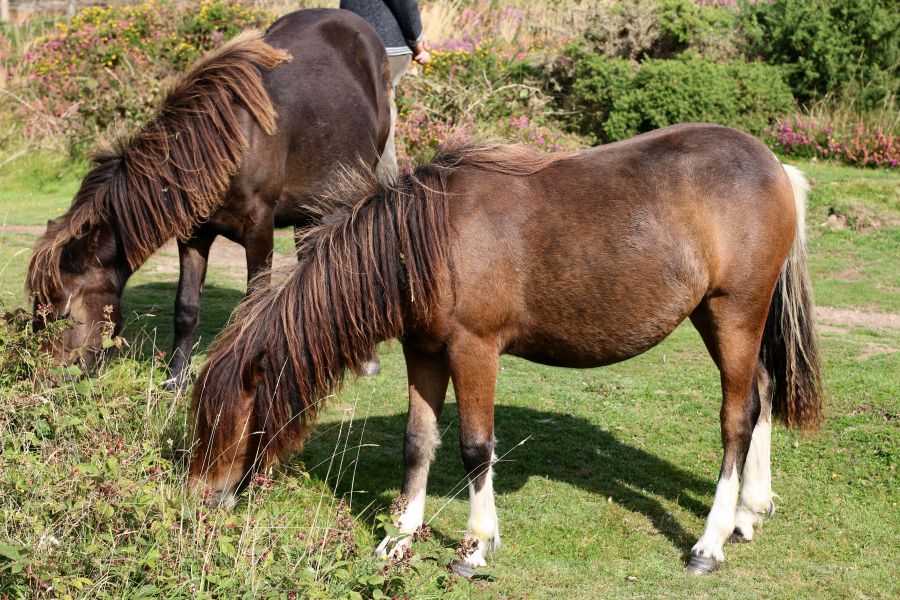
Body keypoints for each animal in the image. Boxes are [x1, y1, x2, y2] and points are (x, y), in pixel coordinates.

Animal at [24, 10, 388, 390]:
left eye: (65, 313)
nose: (44, 379)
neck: (220, 147)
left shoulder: (259, 228)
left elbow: (252, 305)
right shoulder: (194, 233)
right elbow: (186, 307)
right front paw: (175, 379)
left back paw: (366, 359)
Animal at [188, 123, 824, 576]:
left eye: (229, 422)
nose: (200, 500)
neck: (427, 239)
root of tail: (774, 165)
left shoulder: (474, 351)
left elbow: (475, 448)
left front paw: (474, 546)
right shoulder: (423, 352)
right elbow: (418, 442)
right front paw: (400, 536)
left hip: (734, 314)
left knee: (737, 418)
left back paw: (710, 542)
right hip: (718, 320)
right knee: (762, 393)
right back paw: (749, 513)